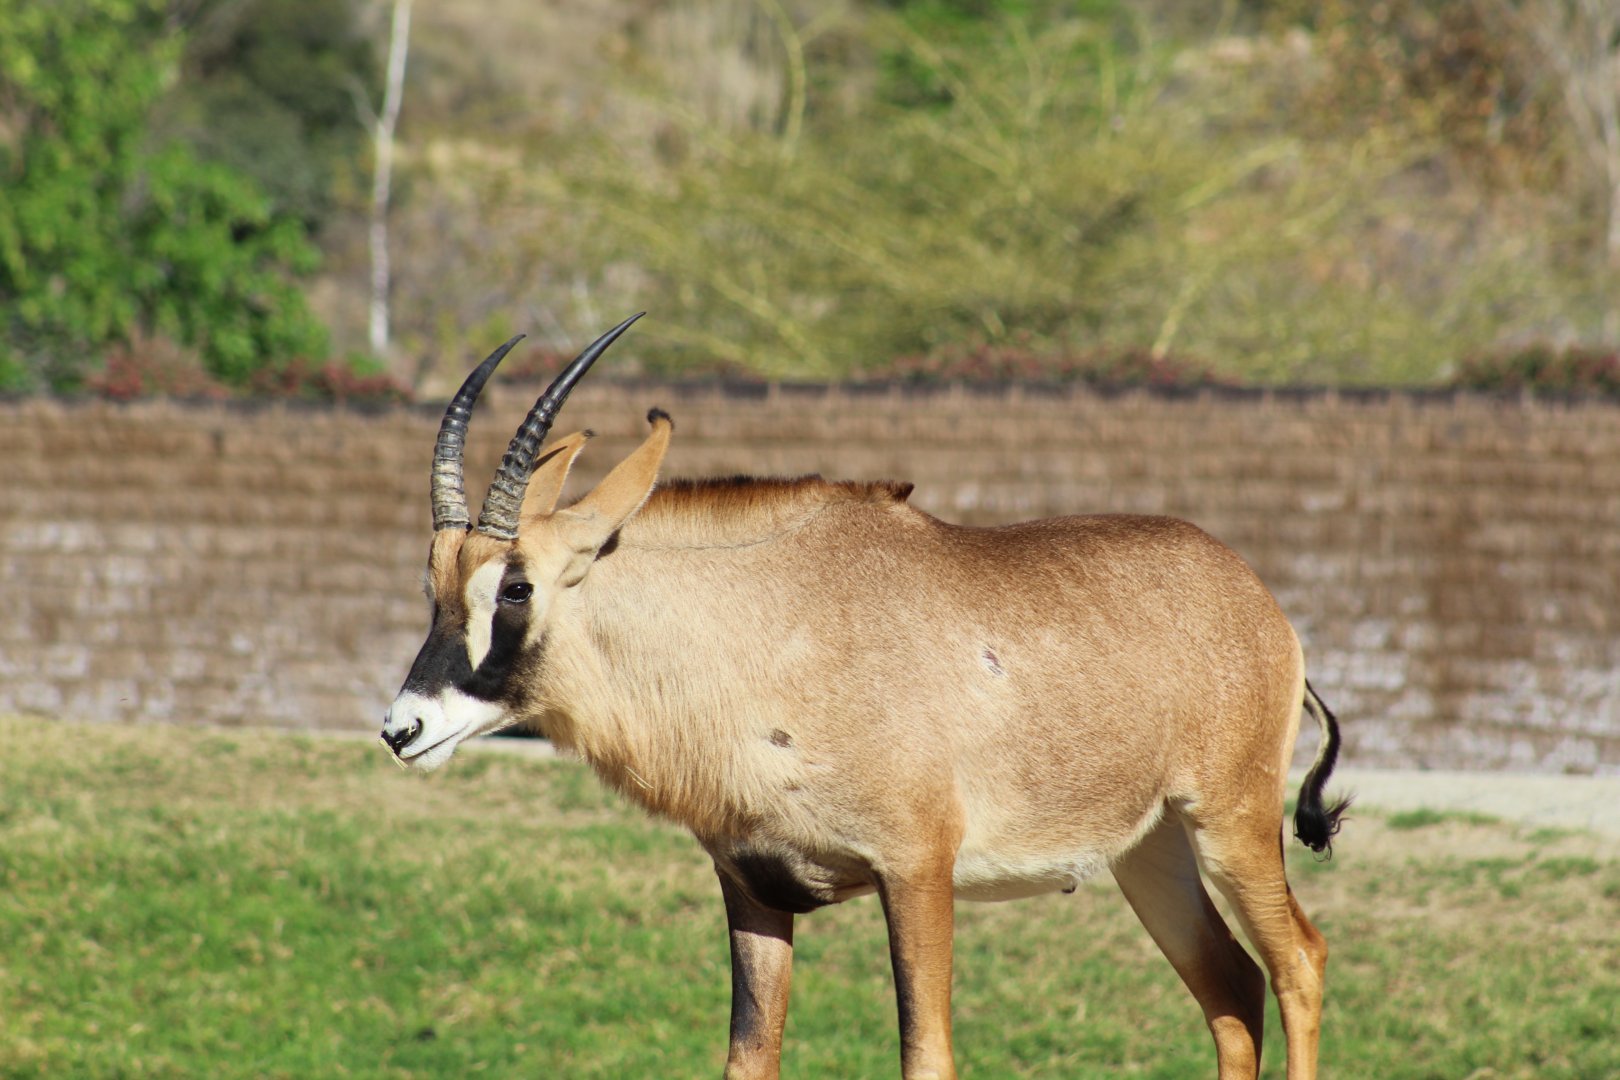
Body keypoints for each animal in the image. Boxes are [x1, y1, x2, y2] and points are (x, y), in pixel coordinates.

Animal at [381, 315, 1347, 1080]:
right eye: (433, 581)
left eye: (515, 586)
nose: (402, 727)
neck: (771, 624)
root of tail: (1260, 602)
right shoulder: (754, 888)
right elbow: (748, 1059)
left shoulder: (915, 870)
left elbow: (927, 1055)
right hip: (1151, 852)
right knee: (1231, 989)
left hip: (1230, 821)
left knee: (1296, 961)